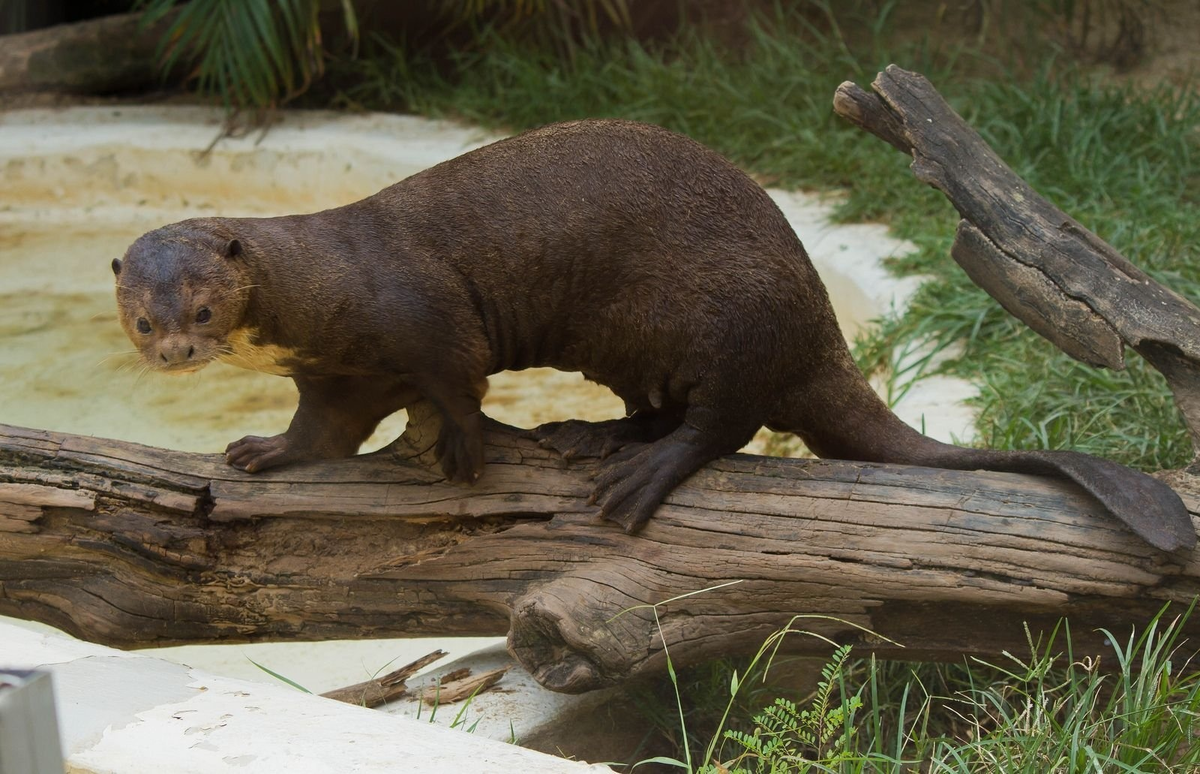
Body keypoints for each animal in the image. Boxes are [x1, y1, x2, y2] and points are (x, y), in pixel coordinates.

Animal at [110, 116, 1190, 549]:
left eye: (202, 309)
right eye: (143, 316)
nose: (175, 352)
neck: (331, 283)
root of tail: (814, 324)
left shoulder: (421, 311)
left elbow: (459, 382)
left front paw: (463, 451)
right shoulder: (336, 372)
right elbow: (321, 435)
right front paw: (259, 452)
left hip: (731, 317)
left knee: (726, 422)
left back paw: (635, 476)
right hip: (644, 345)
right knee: (670, 409)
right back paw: (590, 436)